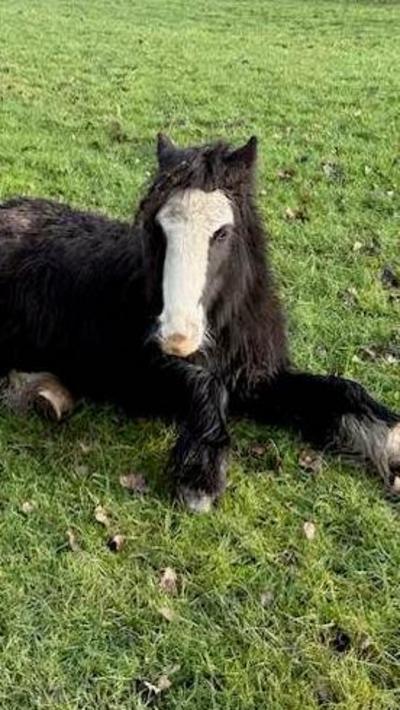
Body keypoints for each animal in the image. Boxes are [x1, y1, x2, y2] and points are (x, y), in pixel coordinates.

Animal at [0, 134, 398, 512]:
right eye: (158, 230)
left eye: (221, 233)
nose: (177, 337)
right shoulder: (139, 373)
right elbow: (205, 383)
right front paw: (201, 476)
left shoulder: (257, 377)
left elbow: (338, 389)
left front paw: (390, 441)